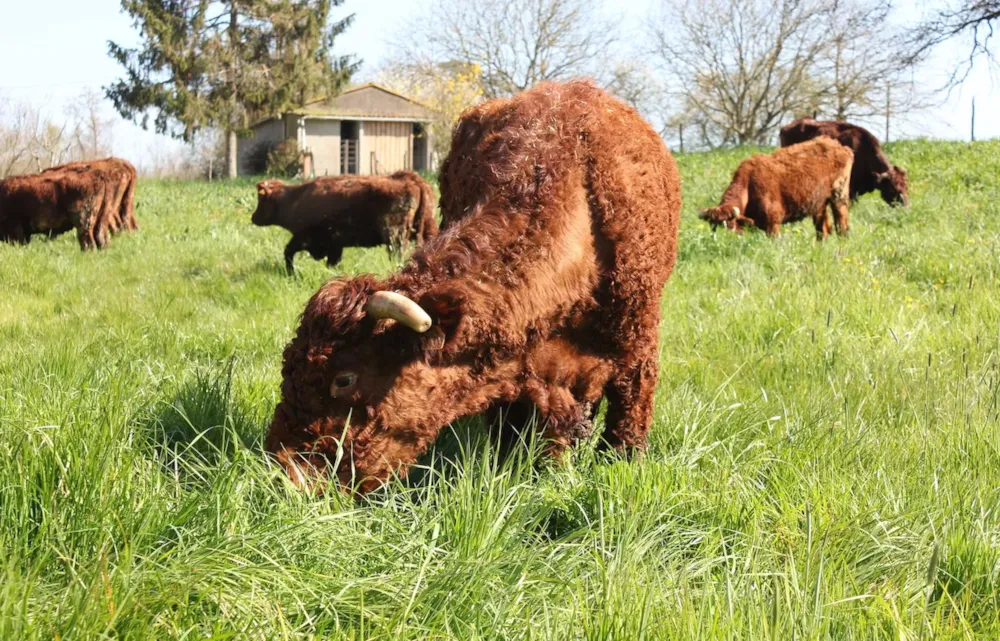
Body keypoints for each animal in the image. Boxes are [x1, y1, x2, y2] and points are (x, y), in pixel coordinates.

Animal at [250, 169, 438, 272]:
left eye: (261, 199)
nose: (253, 217)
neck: (294, 198)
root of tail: (411, 179)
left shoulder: (305, 238)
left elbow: (288, 251)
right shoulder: (335, 245)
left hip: (394, 236)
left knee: (397, 254)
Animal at [700, 137, 856, 238]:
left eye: (729, 225)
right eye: (713, 227)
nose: (719, 241)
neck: (749, 184)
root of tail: (839, 146)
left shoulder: (773, 224)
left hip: (839, 197)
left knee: (842, 224)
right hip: (819, 204)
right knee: (822, 228)